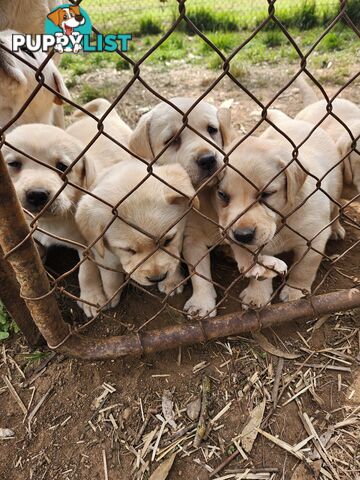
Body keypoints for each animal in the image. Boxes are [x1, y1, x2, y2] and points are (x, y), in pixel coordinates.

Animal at [76, 159, 198, 314]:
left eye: (168, 240)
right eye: (128, 250)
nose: (157, 278)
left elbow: (173, 259)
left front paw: (172, 281)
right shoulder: (102, 252)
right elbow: (109, 276)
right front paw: (110, 295)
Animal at [215, 110, 342, 308]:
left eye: (266, 194)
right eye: (222, 195)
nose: (242, 236)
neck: (283, 218)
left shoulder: (314, 239)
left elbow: (304, 268)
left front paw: (295, 291)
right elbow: (259, 269)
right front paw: (257, 295)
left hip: (336, 187)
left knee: (335, 209)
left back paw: (336, 228)